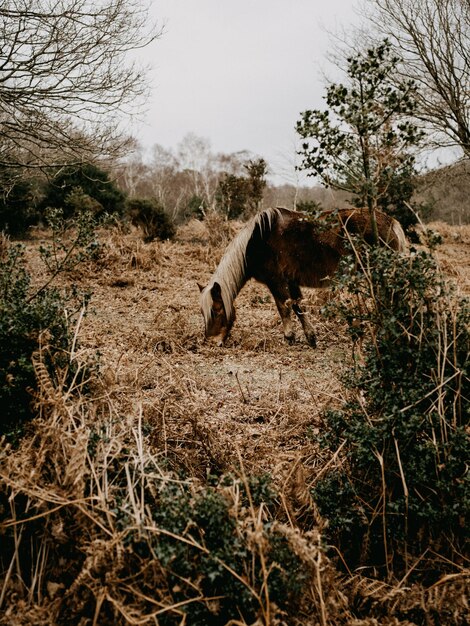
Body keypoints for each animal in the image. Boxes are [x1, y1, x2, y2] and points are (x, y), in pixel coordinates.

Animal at [199, 208, 408, 346]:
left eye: (216, 310)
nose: (210, 342)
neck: (257, 241)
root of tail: (391, 222)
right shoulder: (292, 281)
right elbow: (299, 306)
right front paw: (311, 338)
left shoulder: (276, 281)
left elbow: (284, 308)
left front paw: (289, 337)